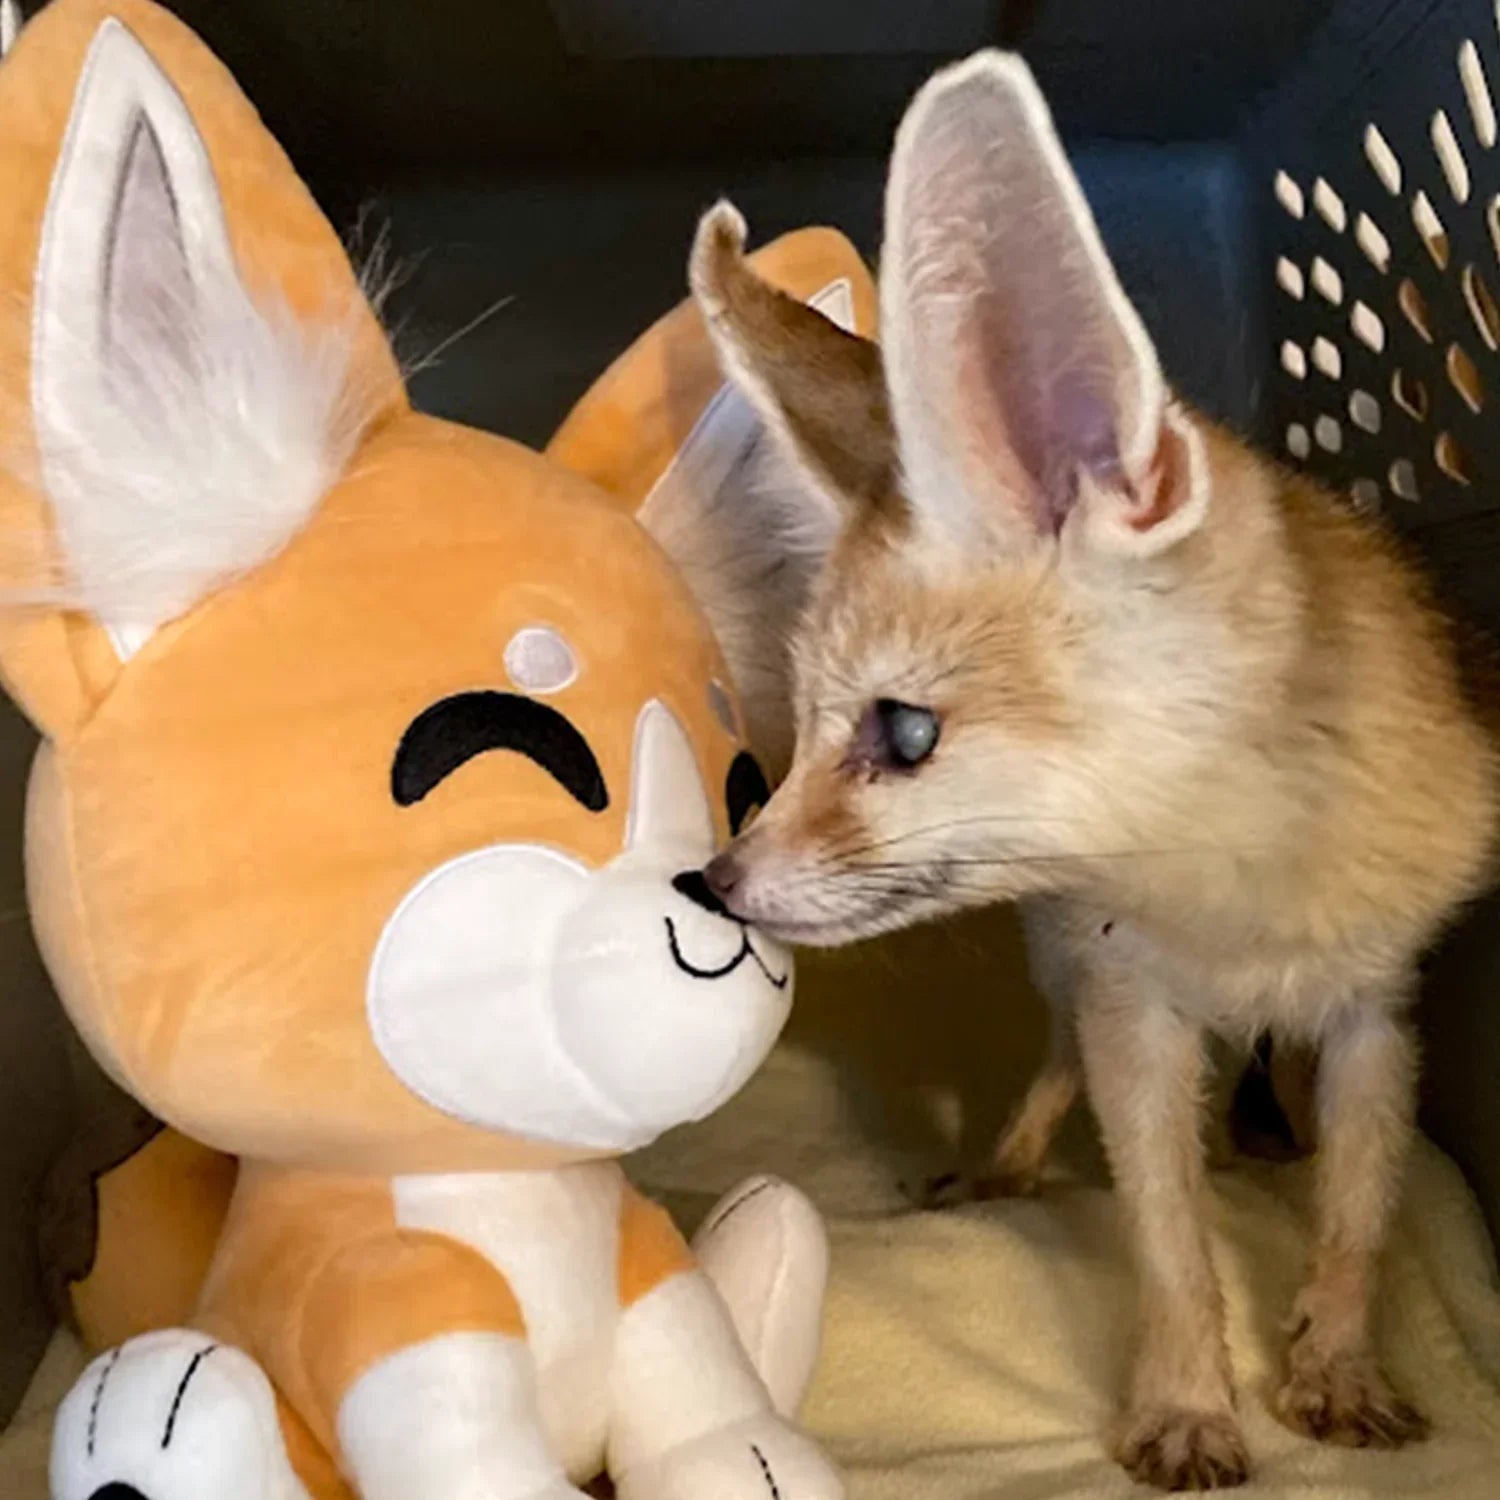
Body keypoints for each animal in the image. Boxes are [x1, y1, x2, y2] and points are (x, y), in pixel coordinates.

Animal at [684, 49, 1500, 1492]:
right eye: (811, 723)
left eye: (903, 734)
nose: (712, 882)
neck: (1245, 901)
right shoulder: (1138, 1010)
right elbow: (1168, 1234)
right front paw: (1186, 1405)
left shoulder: (1376, 1013)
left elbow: (1359, 1211)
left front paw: (1337, 1366)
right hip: (1065, 966)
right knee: (1055, 1067)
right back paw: (1006, 1168)